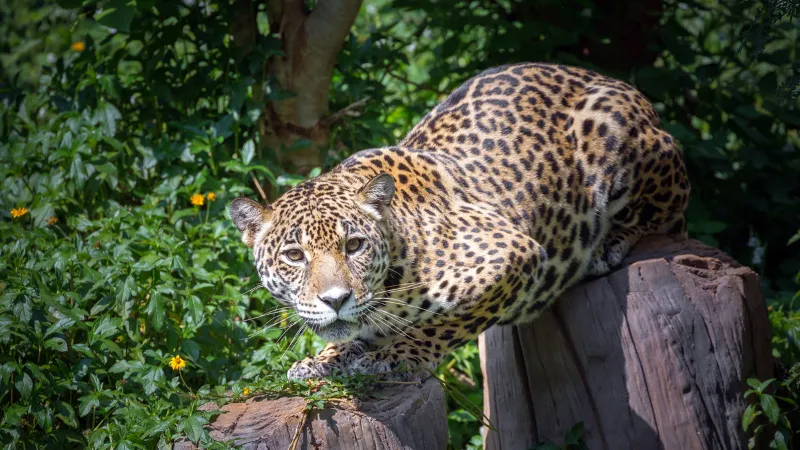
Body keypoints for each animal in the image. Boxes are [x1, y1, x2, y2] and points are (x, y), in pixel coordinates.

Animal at [229, 62, 690, 382]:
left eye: (354, 245)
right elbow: (350, 338)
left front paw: (398, 356)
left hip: (617, 131)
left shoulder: (514, 254)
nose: (335, 300)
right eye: (294, 255)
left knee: (669, 214)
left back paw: (610, 244)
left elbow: (447, 323)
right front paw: (321, 361)